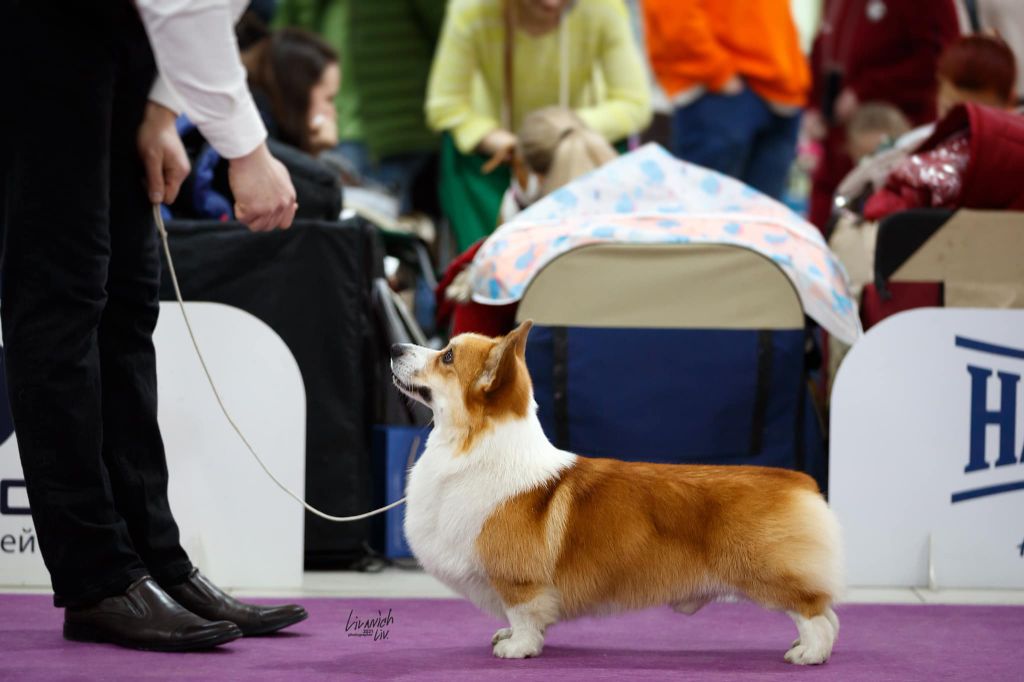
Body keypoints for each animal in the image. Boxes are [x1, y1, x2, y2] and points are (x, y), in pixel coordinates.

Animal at [390, 321, 843, 664]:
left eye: (447, 356)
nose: (394, 347)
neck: (476, 446)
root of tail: (800, 481)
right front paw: (508, 636)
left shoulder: (519, 580)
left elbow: (524, 614)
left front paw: (518, 648)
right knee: (829, 615)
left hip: (768, 573)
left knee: (815, 612)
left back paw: (808, 654)